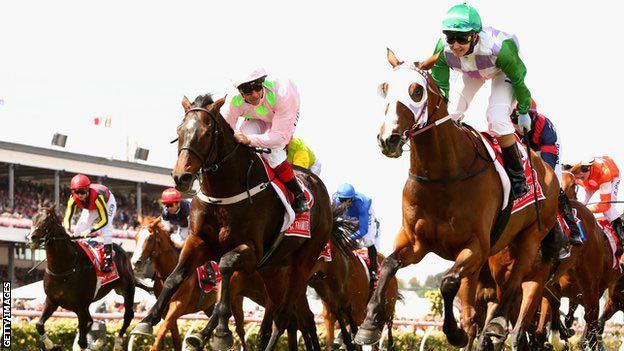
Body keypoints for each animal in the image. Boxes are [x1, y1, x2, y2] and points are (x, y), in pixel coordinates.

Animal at [27, 206, 135, 351]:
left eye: (46, 221)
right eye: (33, 219)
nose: (31, 238)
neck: (64, 267)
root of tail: (121, 250)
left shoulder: (81, 306)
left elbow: (82, 341)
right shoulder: (52, 301)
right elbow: (39, 325)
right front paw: (51, 345)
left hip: (127, 289)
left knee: (128, 315)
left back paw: (117, 342)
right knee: (90, 322)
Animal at [133, 94, 346, 351]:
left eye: (206, 133)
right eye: (179, 130)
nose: (181, 177)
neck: (222, 193)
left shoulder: (251, 251)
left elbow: (225, 266)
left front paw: (222, 332)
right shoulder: (198, 242)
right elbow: (175, 277)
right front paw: (147, 320)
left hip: (303, 263)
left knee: (286, 315)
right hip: (273, 270)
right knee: (286, 316)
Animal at [356, 50, 560, 351]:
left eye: (416, 91)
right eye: (385, 88)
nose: (388, 139)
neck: (444, 175)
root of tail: (547, 171)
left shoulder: (475, 247)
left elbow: (448, 281)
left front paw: (454, 333)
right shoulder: (415, 242)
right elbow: (389, 265)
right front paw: (368, 325)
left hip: (531, 236)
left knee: (515, 282)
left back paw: (496, 324)